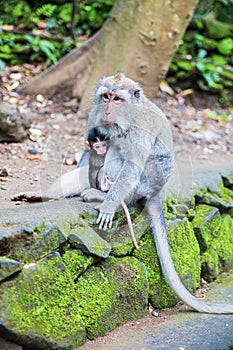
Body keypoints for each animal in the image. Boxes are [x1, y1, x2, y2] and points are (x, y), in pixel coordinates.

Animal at [12, 74, 233, 314]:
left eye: (117, 99)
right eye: (106, 97)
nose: (108, 111)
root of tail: (155, 193)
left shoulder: (139, 129)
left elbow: (131, 164)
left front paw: (109, 205)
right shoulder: (95, 117)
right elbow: (89, 151)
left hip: (144, 184)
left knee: (120, 155)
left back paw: (106, 197)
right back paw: (45, 194)